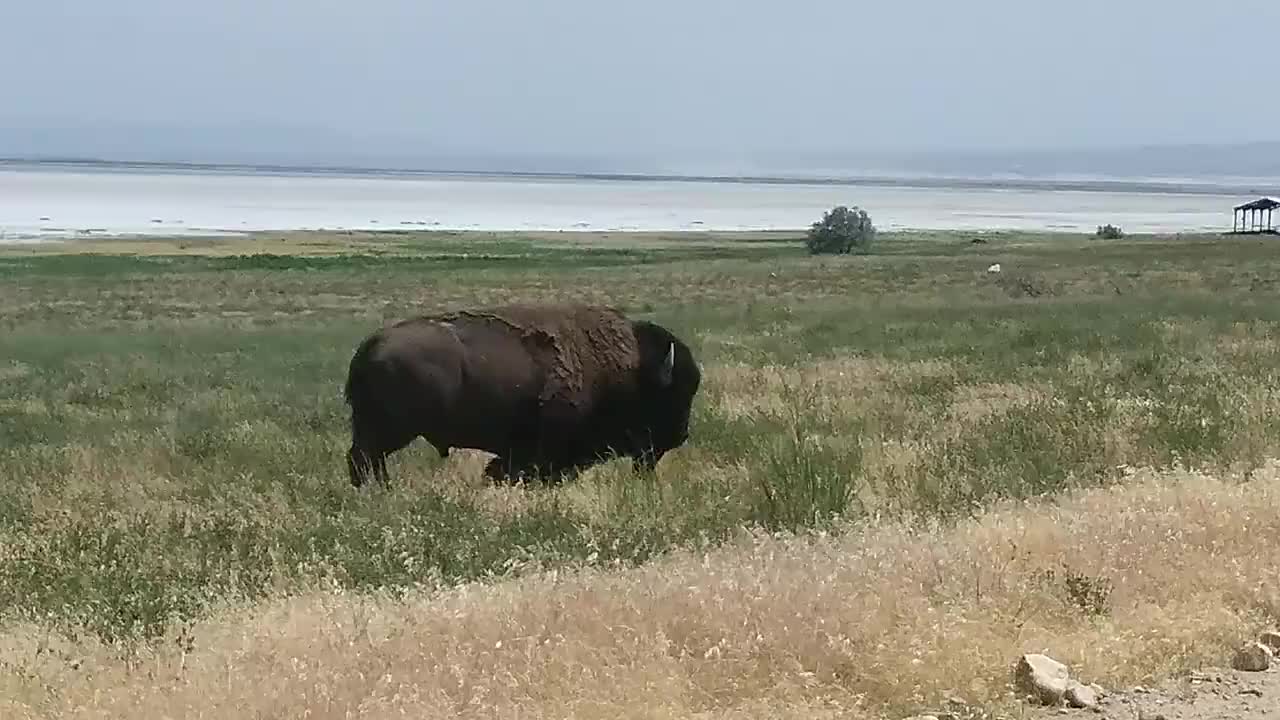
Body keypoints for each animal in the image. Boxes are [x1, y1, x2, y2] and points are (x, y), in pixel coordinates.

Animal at [343, 299, 701, 484]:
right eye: (673, 395)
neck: (630, 369)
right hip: (390, 431)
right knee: (364, 459)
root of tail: (368, 347)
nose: (681, 434)